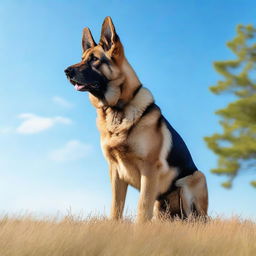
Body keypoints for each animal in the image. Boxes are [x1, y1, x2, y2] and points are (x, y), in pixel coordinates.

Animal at [64, 17, 208, 223]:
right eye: (83, 58)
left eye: (94, 60)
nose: (66, 71)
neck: (117, 109)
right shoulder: (115, 172)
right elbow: (116, 207)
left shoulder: (149, 170)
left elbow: (142, 207)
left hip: (192, 180)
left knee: (196, 219)